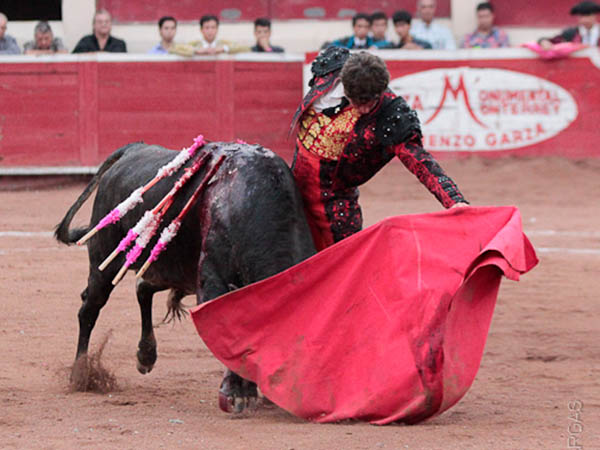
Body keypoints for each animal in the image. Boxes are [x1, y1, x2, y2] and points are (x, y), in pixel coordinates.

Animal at [55, 142, 318, 414]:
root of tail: (132, 149)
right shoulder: (212, 284)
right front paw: (236, 394)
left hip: (172, 268)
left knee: (143, 288)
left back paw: (145, 355)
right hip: (105, 259)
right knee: (89, 308)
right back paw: (80, 374)